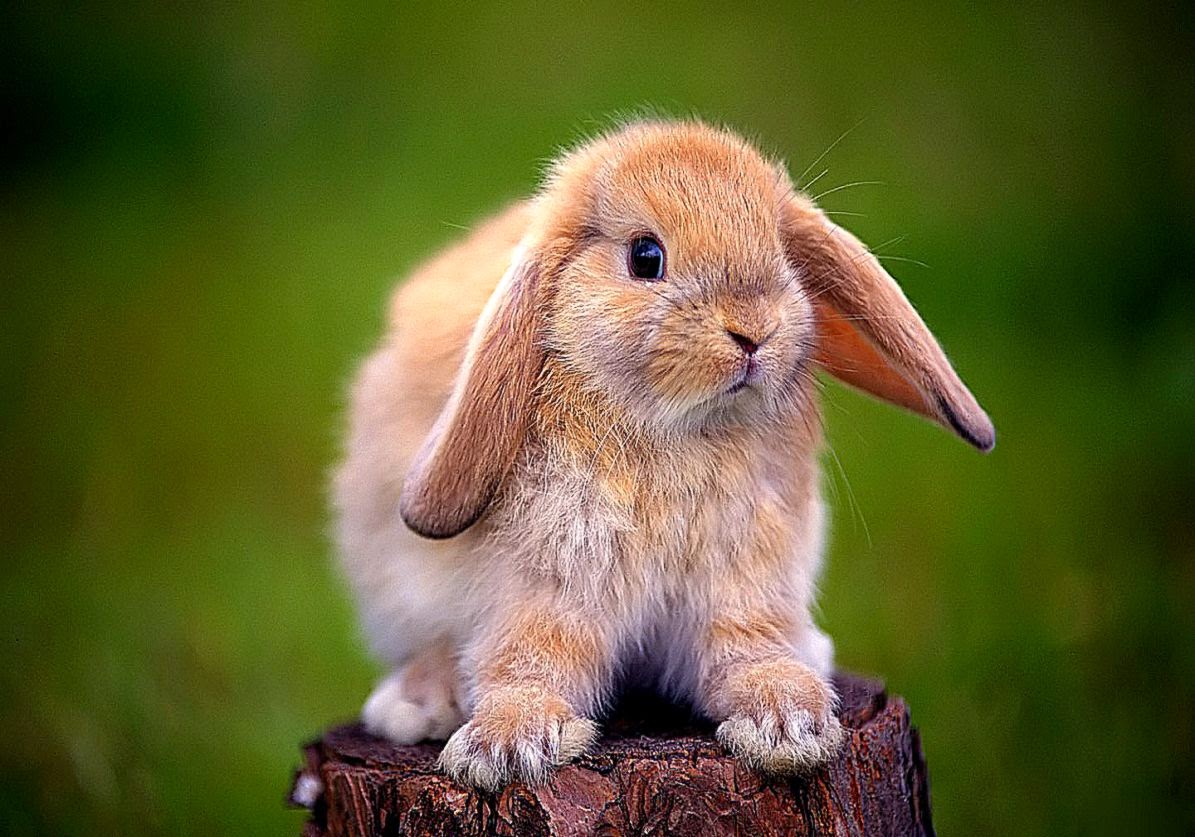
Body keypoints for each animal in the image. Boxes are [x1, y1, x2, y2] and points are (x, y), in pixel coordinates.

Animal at [332, 119, 994, 791]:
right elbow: (530, 659)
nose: (754, 331)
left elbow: (747, 651)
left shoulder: (744, 578)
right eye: (645, 257)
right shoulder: (549, 581)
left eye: (781, 252)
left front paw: (789, 726)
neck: (679, 427)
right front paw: (503, 748)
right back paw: (415, 705)